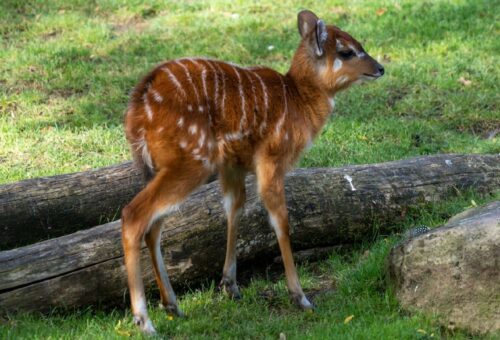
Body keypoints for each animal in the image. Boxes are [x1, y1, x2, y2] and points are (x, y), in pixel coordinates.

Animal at [120, 9, 382, 334]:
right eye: (346, 51)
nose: (380, 68)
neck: (299, 101)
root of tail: (136, 111)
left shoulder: (233, 166)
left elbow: (235, 209)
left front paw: (230, 286)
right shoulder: (271, 159)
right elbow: (280, 220)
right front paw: (301, 297)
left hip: (166, 166)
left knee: (153, 225)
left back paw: (173, 306)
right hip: (191, 161)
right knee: (134, 214)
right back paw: (145, 321)